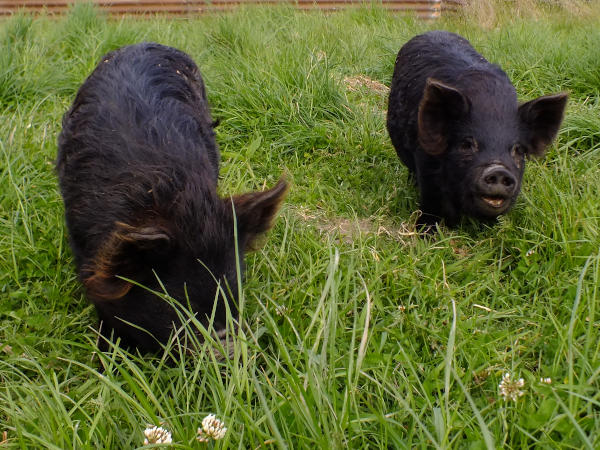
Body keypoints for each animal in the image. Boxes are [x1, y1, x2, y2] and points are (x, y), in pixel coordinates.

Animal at [384, 30, 568, 225]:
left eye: (518, 150)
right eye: (467, 144)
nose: (499, 170)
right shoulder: (425, 162)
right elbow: (430, 202)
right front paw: (425, 229)